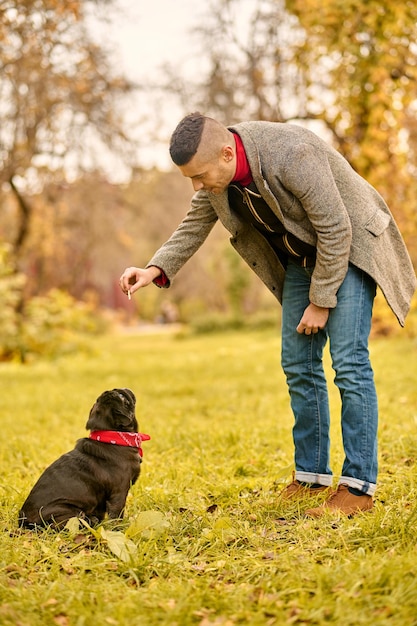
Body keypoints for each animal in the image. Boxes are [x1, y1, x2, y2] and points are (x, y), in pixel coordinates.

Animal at [19, 386, 150, 528]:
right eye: (122, 397)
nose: (116, 389)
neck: (113, 437)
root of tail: (24, 521)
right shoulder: (119, 493)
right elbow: (117, 515)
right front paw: (118, 528)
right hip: (71, 512)